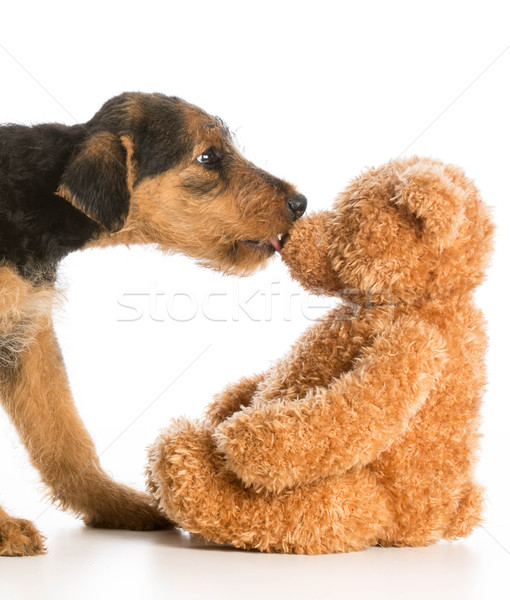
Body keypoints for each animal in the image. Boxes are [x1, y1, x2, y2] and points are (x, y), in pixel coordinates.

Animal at [0, 91, 306, 556]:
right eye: (208, 156)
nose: (300, 203)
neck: (38, 197)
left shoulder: (29, 334)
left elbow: (64, 433)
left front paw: (114, 503)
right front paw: (4, 530)